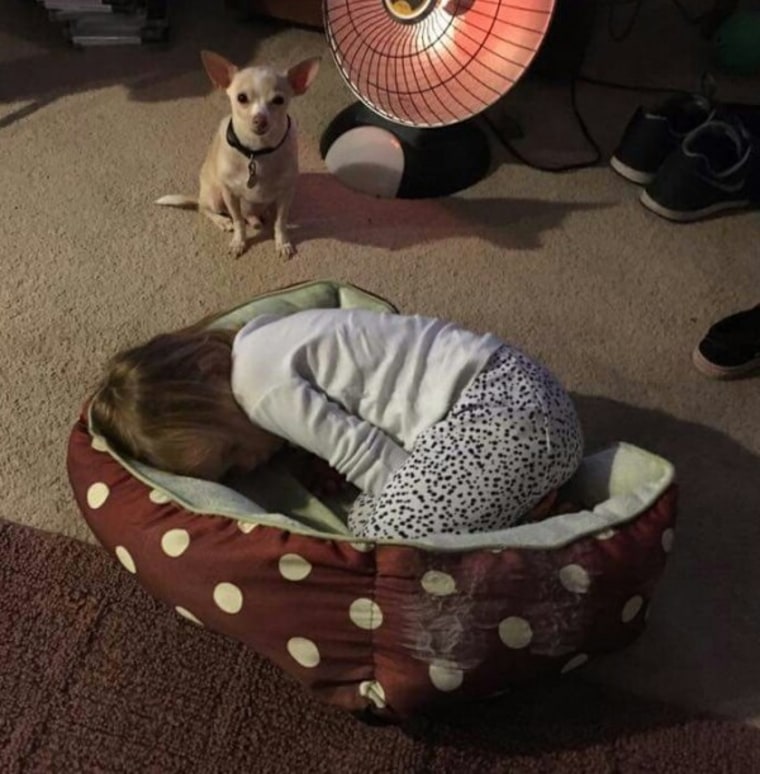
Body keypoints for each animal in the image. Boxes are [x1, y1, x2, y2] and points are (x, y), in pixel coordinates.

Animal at [156, 53, 320, 264]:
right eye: (241, 98)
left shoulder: (285, 194)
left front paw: (282, 243)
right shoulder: (230, 194)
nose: (260, 120)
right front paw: (238, 242)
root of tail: (200, 194)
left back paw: (259, 219)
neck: (256, 152)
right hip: (215, 195)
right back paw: (223, 220)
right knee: (204, 208)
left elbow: (280, 222)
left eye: (279, 100)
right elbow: (239, 221)